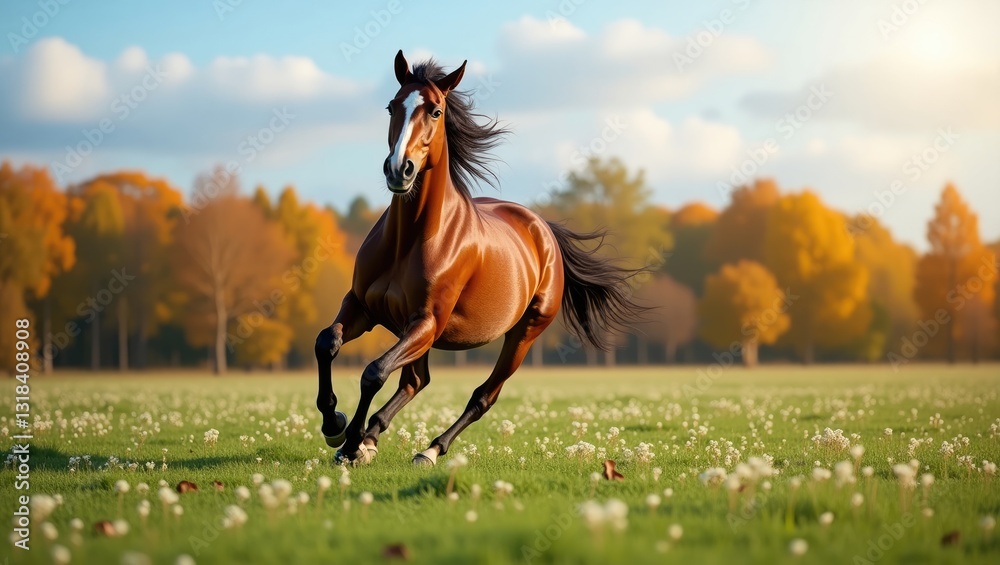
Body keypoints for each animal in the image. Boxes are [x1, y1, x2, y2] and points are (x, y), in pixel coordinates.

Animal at [315, 50, 643, 466]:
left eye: (436, 111)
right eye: (391, 106)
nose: (398, 169)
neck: (409, 240)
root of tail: (543, 230)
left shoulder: (427, 321)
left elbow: (374, 372)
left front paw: (351, 443)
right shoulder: (363, 306)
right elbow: (327, 342)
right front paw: (334, 425)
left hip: (522, 333)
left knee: (483, 396)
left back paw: (429, 449)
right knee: (416, 381)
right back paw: (374, 436)